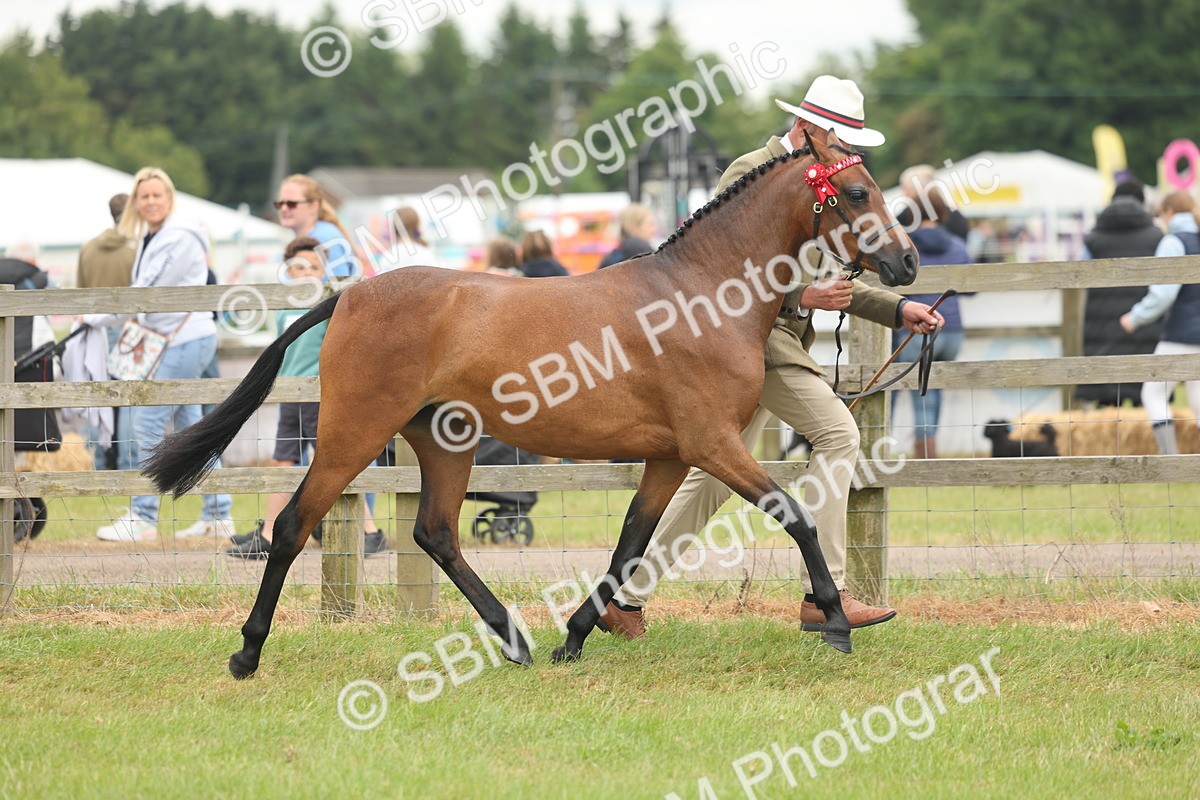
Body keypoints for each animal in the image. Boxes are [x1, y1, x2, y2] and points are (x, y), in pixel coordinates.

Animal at [144, 128, 918, 678]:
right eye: (855, 193)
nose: (908, 262)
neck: (700, 293)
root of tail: (352, 294)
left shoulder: (671, 458)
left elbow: (630, 543)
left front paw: (573, 639)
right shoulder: (711, 445)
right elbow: (796, 518)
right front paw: (836, 623)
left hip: (443, 441)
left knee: (436, 532)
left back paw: (513, 638)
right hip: (352, 433)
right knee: (294, 524)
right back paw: (247, 653)